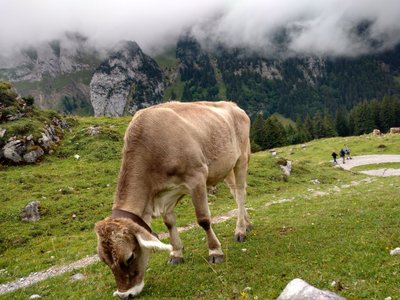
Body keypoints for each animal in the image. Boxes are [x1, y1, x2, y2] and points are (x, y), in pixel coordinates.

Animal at [94, 101, 250, 298]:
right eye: (105, 261)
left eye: (129, 257)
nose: (124, 295)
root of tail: (233, 105)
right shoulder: (167, 192)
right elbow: (169, 222)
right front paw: (176, 254)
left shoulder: (197, 177)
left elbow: (203, 219)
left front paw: (215, 251)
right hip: (225, 167)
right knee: (235, 193)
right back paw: (247, 224)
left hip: (242, 158)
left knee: (240, 193)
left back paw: (240, 231)